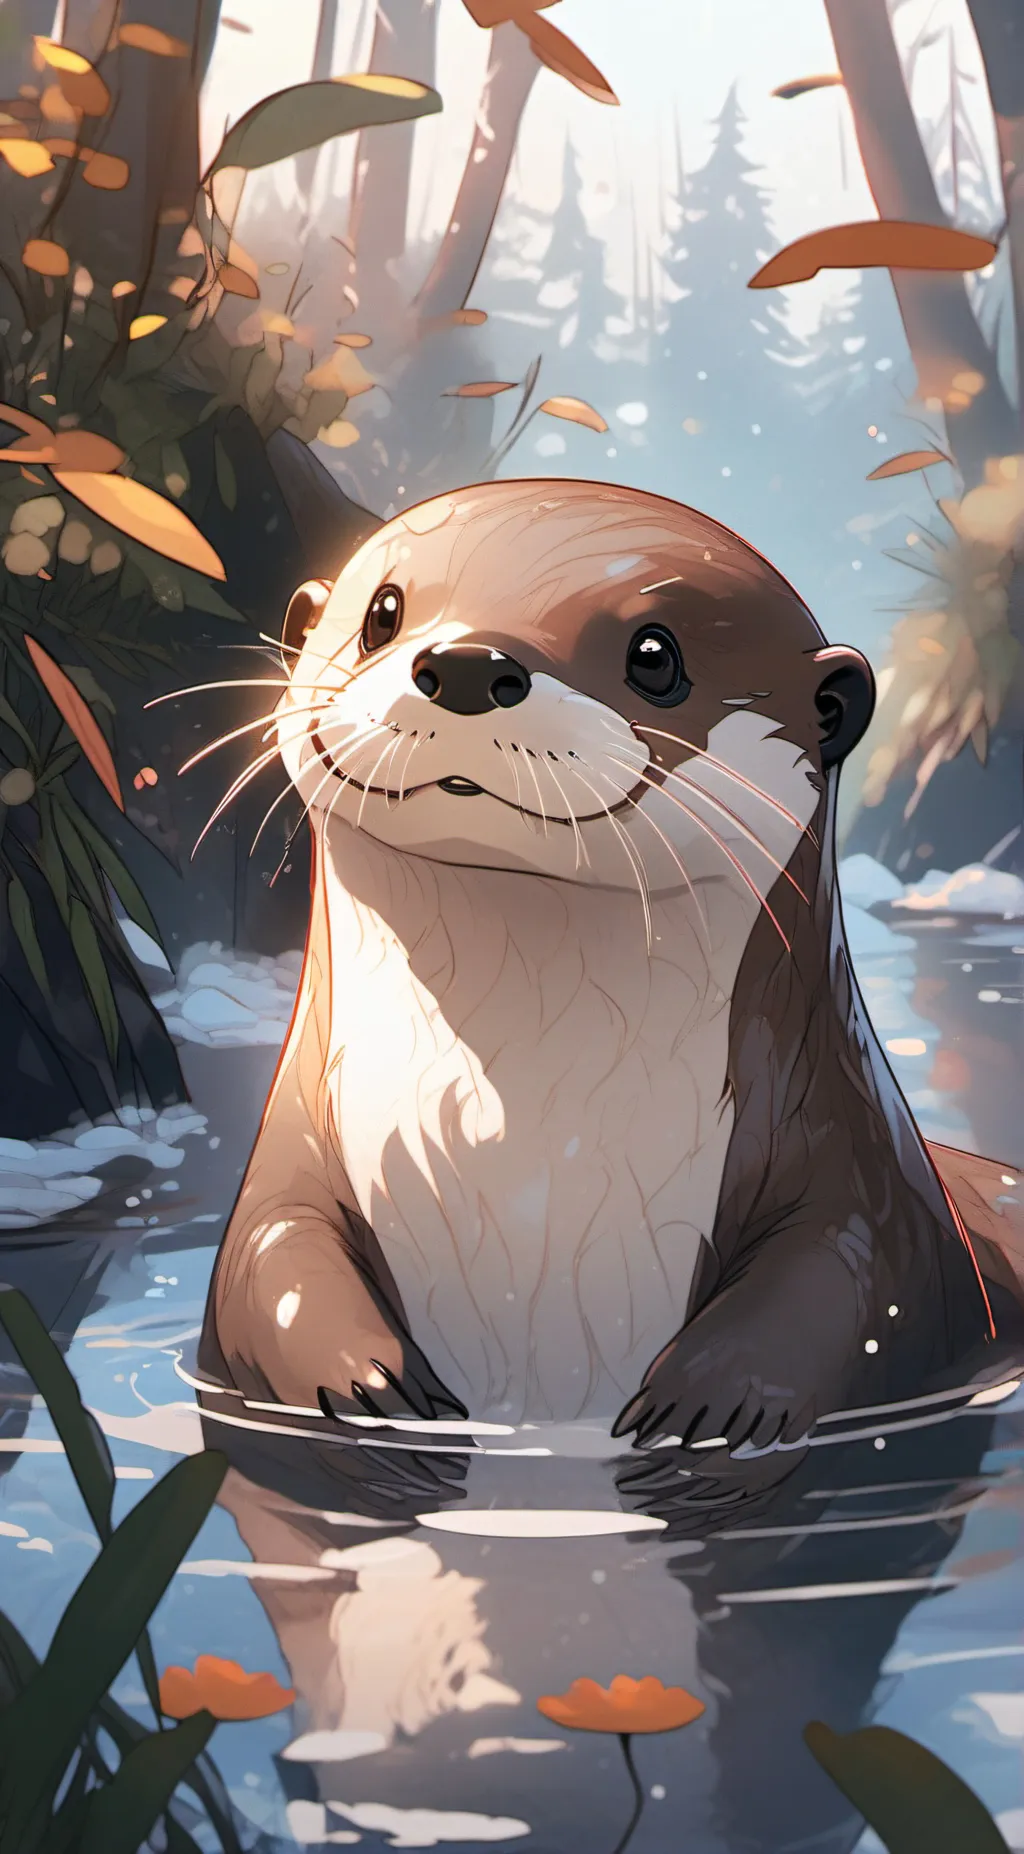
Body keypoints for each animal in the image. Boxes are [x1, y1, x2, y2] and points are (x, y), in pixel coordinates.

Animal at [196, 479, 1023, 1458]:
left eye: (655, 655)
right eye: (383, 613)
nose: (467, 662)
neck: (526, 1167)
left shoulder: (860, 1182)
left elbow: (843, 1280)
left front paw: (707, 1405)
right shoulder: (292, 1158)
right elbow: (271, 1257)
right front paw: (369, 1390)